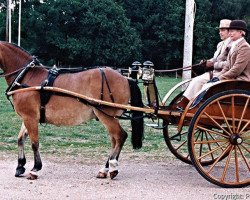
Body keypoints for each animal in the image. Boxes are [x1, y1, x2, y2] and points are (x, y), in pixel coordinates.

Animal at [0, 41, 144, 180]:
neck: (27, 77)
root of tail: (125, 78)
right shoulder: (28, 117)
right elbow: (20, 139)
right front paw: (20, 166)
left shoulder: (30, 118)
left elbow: (34, 143)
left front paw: (35, 169)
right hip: (109, 116)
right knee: (114, 140)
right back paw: (105, 169)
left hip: (106, 115)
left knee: (120, 136)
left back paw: (113, 168)